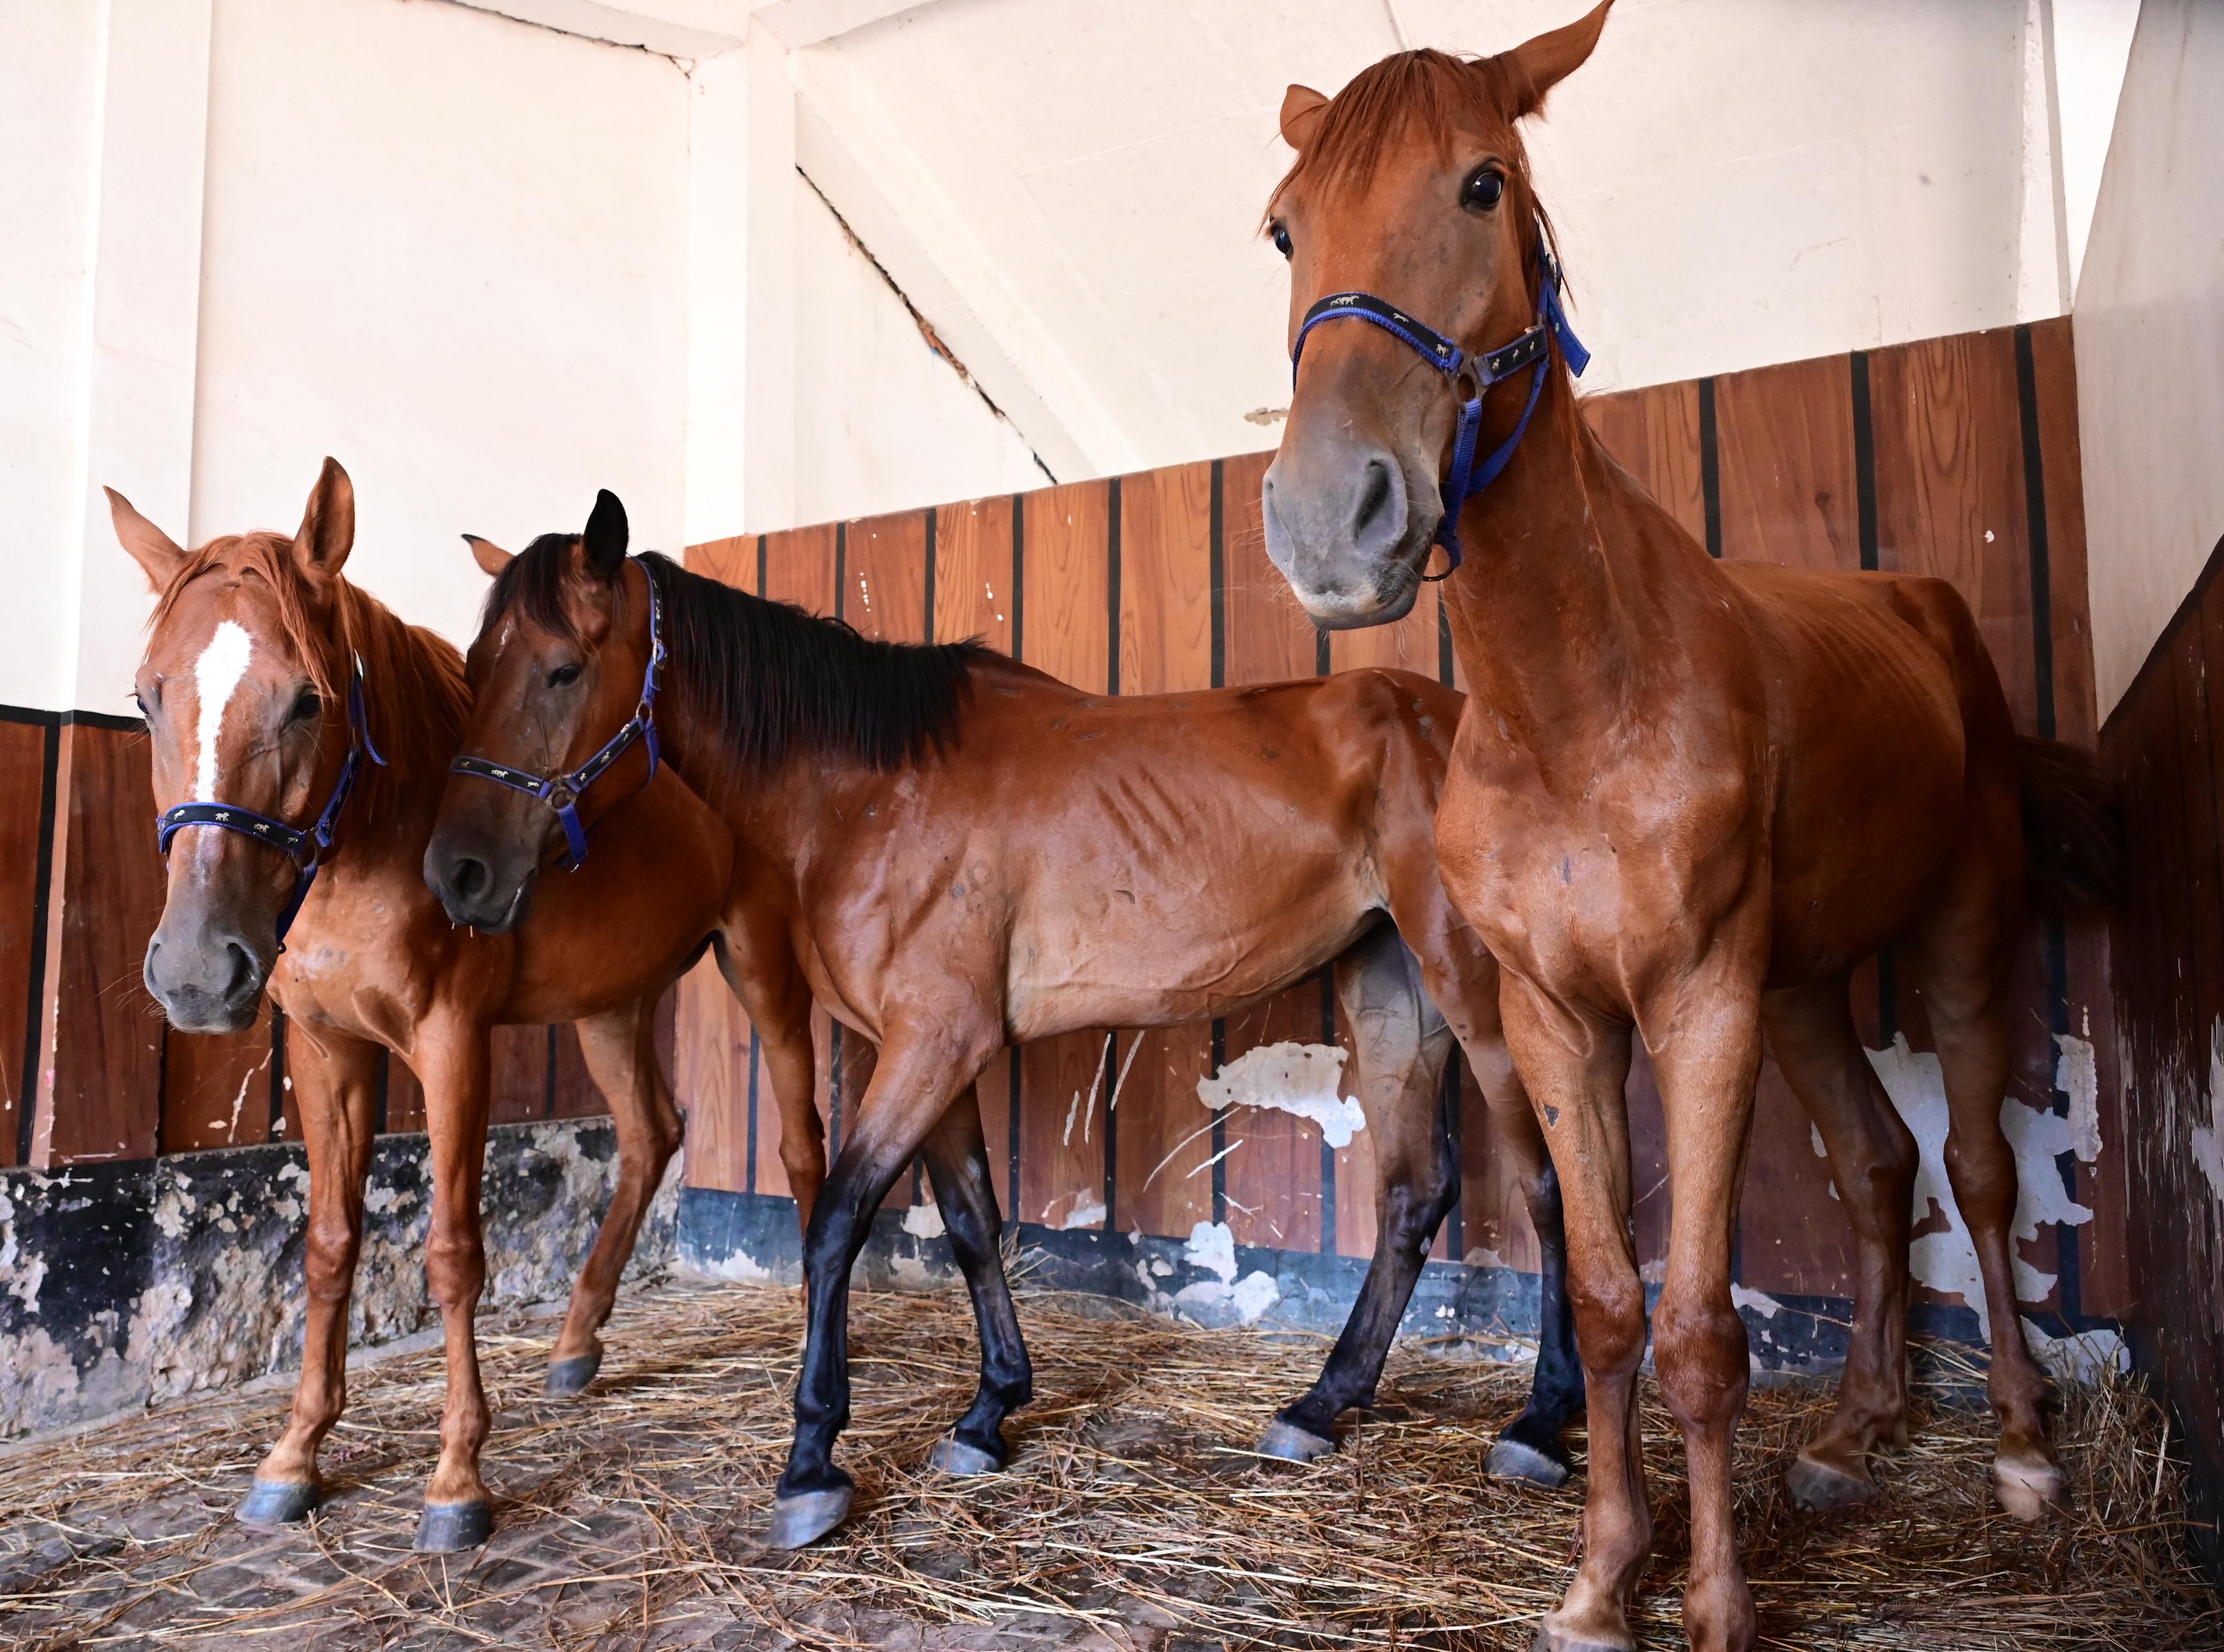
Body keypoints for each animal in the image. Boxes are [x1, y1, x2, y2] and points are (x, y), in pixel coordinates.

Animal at [112, 460, 745, 1553]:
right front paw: (294, 1456)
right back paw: (577, 1343)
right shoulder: (327, 1050)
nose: (195, 971)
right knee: (650, 1132)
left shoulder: (453, 1044)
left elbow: (452, 1252)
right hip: (613, 1005)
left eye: (309, 701)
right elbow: (329, 1245)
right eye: (147, 699)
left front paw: (457, 1478)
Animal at [424, 495, 1585, 1551]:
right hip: (1389, 989)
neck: (871, 790)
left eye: (563, 671)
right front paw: (988, 1413)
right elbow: (974, 1225)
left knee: (1545, 1183)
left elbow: (837, 1220)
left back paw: (1539, 1424)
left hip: (1481, 998)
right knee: (1412, 1196)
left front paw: (811, 1464)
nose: (457, 872)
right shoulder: (937, 1054)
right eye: (475, 669)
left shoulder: (931, 1045)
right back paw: (1320, 1407)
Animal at [1257, 7, 2118, 1649]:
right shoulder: (1560, 1019)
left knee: (1975, 1171)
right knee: (1875, 1165)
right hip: (1807, 989)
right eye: (1282, 225)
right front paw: (1606, 1576)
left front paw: (1714, 1601)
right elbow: (1609, 1307)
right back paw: (1849, 1434)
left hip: (1956, 937)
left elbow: (1705, 1329)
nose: (1333, 520)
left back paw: (2026, 1452)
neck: (1574, 702)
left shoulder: (1699, 1005)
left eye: (1481, 184)